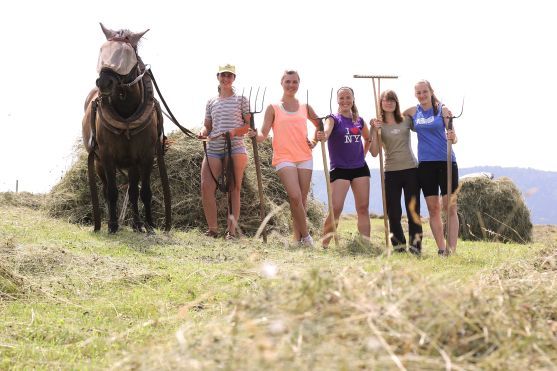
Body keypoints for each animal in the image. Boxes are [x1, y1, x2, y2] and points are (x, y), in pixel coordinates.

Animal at [81, 23, 170, 234]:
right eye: (102, 51)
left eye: (127, 53)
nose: (104, 82)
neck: (126, 116)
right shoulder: (106, 156)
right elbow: (112, 192)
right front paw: (113, 225)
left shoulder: (146, 156)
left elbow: (144, 192)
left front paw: (149, 224)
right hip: (98, 163)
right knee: (106, 190)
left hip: (132, 164)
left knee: (133, 191)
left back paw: (137, 224)